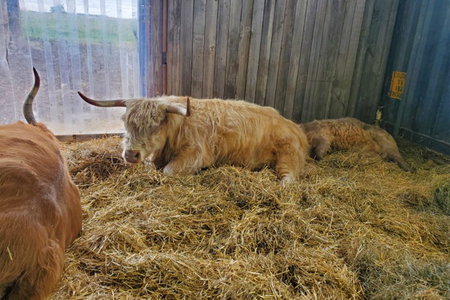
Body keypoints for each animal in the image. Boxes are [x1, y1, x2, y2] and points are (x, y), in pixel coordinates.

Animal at [77, 94, 310, 182]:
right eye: (125, 122)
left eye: (154, 127)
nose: (131, 154)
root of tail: (294, 126)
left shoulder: (195, 154)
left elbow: (169, 171)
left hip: (287, 157)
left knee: (289, 178)